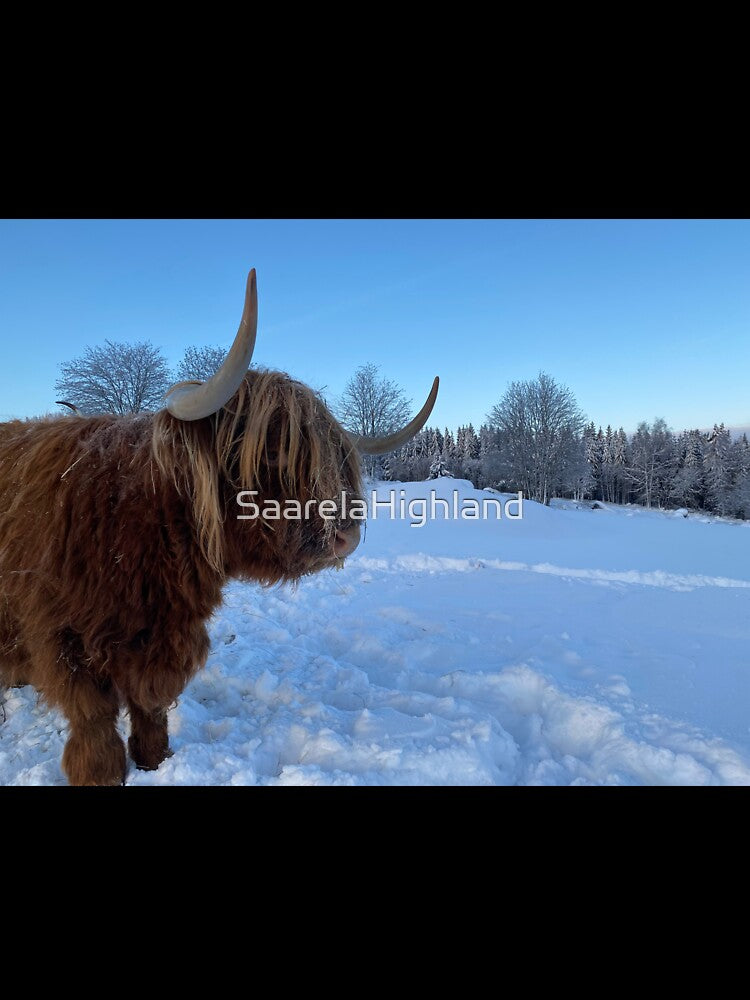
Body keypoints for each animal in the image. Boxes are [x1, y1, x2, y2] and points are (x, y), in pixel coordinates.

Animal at [0, 269, 438, 785]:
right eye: (273, 451)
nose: (346, 534)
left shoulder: (167, 639)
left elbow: (151, 709)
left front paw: (156, 761)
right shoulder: (68, 641)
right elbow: (95, 724)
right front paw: (101, 774)